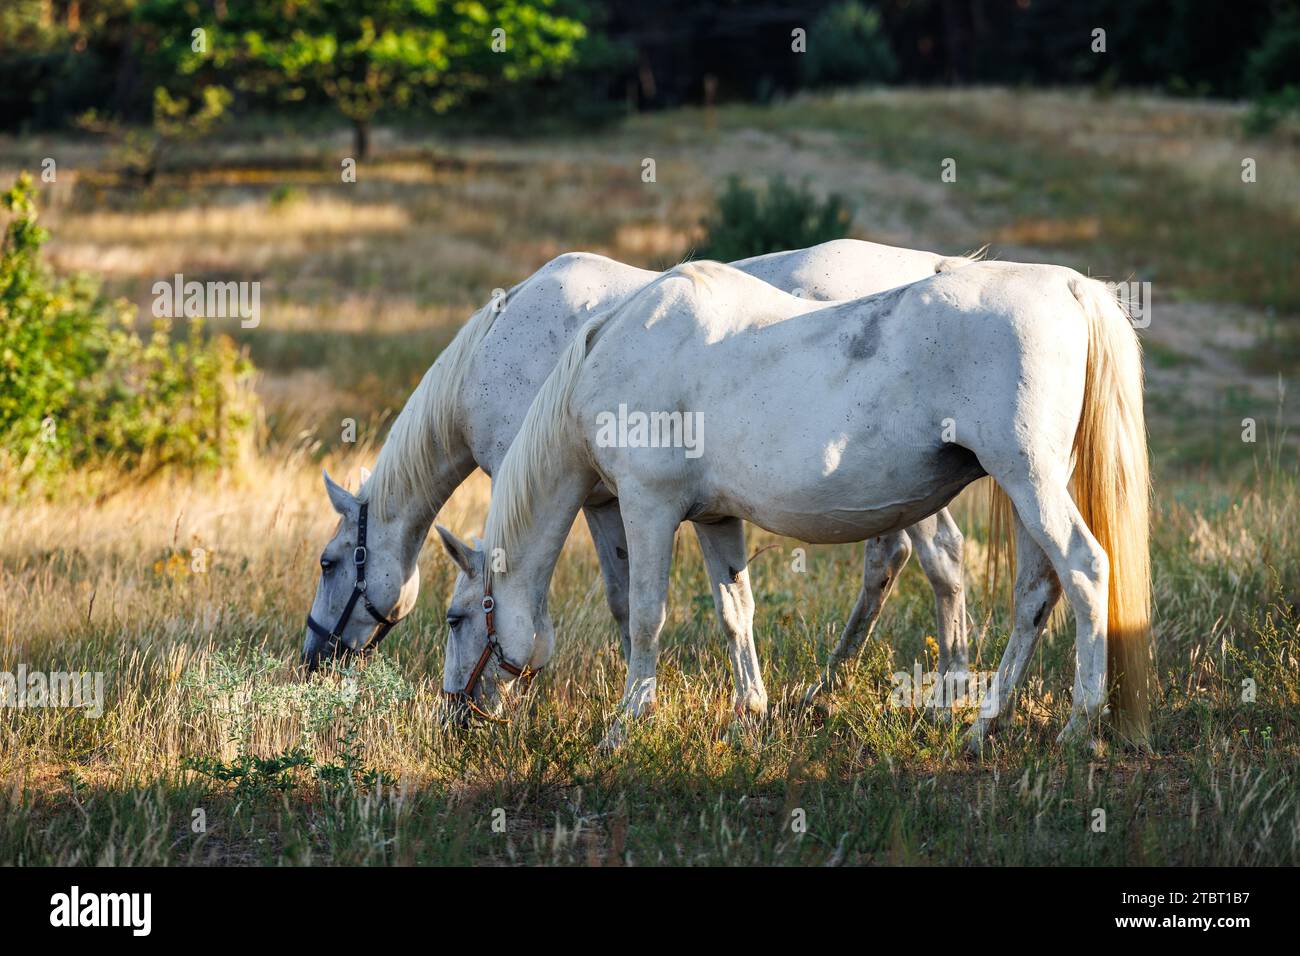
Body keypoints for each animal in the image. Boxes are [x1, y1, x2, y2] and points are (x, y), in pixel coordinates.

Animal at [435, 259, 1153, 752]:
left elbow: (645, 616)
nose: (454, 717)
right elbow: (735, 610)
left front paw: (625, 724)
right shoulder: (715, 519)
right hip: (1032, 489)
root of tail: (1070, 287)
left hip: (1031, 482)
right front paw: (747, 715)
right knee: (1035, 594)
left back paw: (1079, 724)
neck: (615, 351)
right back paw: (983, 724)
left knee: (1086, 571)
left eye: (454, 618)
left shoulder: (647, 507)